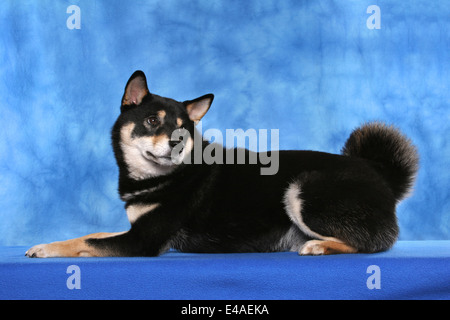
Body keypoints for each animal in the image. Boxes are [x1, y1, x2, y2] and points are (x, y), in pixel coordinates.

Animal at [25, 70, 418, 258]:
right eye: (152, 121)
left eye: (183, 129)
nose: (175, 144)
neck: (168, 177)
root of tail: (380, 175)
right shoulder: (136, 230)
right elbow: (90, 235)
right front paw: (47, 242)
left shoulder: (143, 241)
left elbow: (87, 243)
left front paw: (45, 249)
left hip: (302, 191)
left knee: (373, 243)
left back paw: (321, 246)